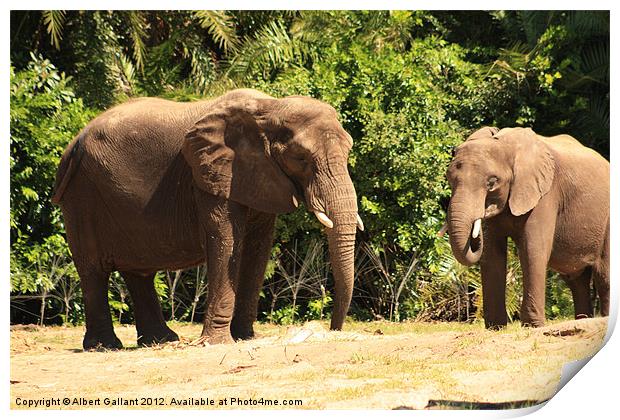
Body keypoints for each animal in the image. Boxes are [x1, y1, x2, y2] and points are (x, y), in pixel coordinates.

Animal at [54, 88, 364, 348]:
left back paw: (161, 341)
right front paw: (217, 342)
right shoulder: (209, 174)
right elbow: (226, 242)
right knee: (94, 269)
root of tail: (72, 144)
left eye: (350, 150)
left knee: (138, 271)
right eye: (301, 158)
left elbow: (257, 249)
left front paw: (244, 338)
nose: (333, 329)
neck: (269, 107)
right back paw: (105, 346)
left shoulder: (258, 176)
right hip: (82, 195)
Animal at [446, 126, 612, 330]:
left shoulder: (545, 194)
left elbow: (532, 249)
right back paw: (583, 320)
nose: (482, 214)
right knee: (576, 280)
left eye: (492, 182)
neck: (506, 145)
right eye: (449, 179)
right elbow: (492, 255)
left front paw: (533, 326)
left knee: (604, 275)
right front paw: (495, 328)